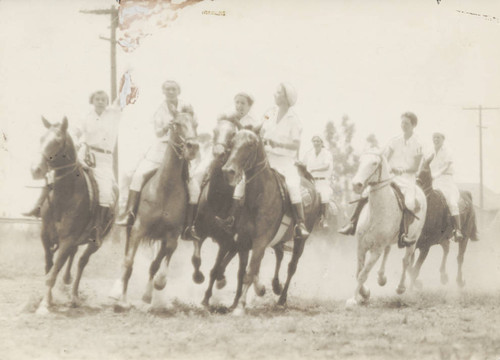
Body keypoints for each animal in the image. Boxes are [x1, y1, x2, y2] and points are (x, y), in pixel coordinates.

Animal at [31, 116, 115, 314]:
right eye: (41, 138)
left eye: (57, 141)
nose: (35, 169)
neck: (64, 197)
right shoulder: (45, 235)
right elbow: (49, 265)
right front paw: (49, 298)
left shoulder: (68, 239)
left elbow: (54, 271)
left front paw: (45, 304)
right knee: (73, 256)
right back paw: (66, 281)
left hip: (94, 242)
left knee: (82, 262)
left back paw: (74, 296)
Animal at [111, 106, 199, 310]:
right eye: (177, 124)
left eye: (196, 124)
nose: (193, 147)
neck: (166, 187)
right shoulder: (137, 230)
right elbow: (128, 263)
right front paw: (120, 296)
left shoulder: (172, 235)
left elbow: (158, 265)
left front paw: (154, 288)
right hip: (130, 230)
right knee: (127, 260)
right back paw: (122, 295)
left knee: (156, 262)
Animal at [222, 129, 320, 312]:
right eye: (232, 142)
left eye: (250, 144)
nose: (228, 170)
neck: (258, 196)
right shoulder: (244, 241)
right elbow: (242, 272)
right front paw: (235, 303)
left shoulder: (260, 241)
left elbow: (250, 271)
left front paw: (241, 305)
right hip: (278, 239)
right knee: (280, 255)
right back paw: (276, 286)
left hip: (300, 240)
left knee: (292, 266)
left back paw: (281, 299)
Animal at [346, 151, 428, 306]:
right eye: (360, 161)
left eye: (374, 163)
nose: (356, 185)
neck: (375, 214)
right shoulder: (361, 246)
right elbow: (358, 272)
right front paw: (365, 293)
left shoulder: (376, 250)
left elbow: (363, 274)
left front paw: (353, 299)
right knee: (388, 251)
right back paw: (381, 277)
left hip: (413, 241)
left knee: (405, 261)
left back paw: (400, 288)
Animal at [410, 158, 480, 290]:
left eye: (425, 171)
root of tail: (467, 194)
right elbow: (410, 268)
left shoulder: (425, 247)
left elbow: (414, 270)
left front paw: (416, 284)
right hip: (443, 237)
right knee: (446, 249)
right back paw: (443, 276)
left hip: (465, 236)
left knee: (460, 257)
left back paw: (459, 281)